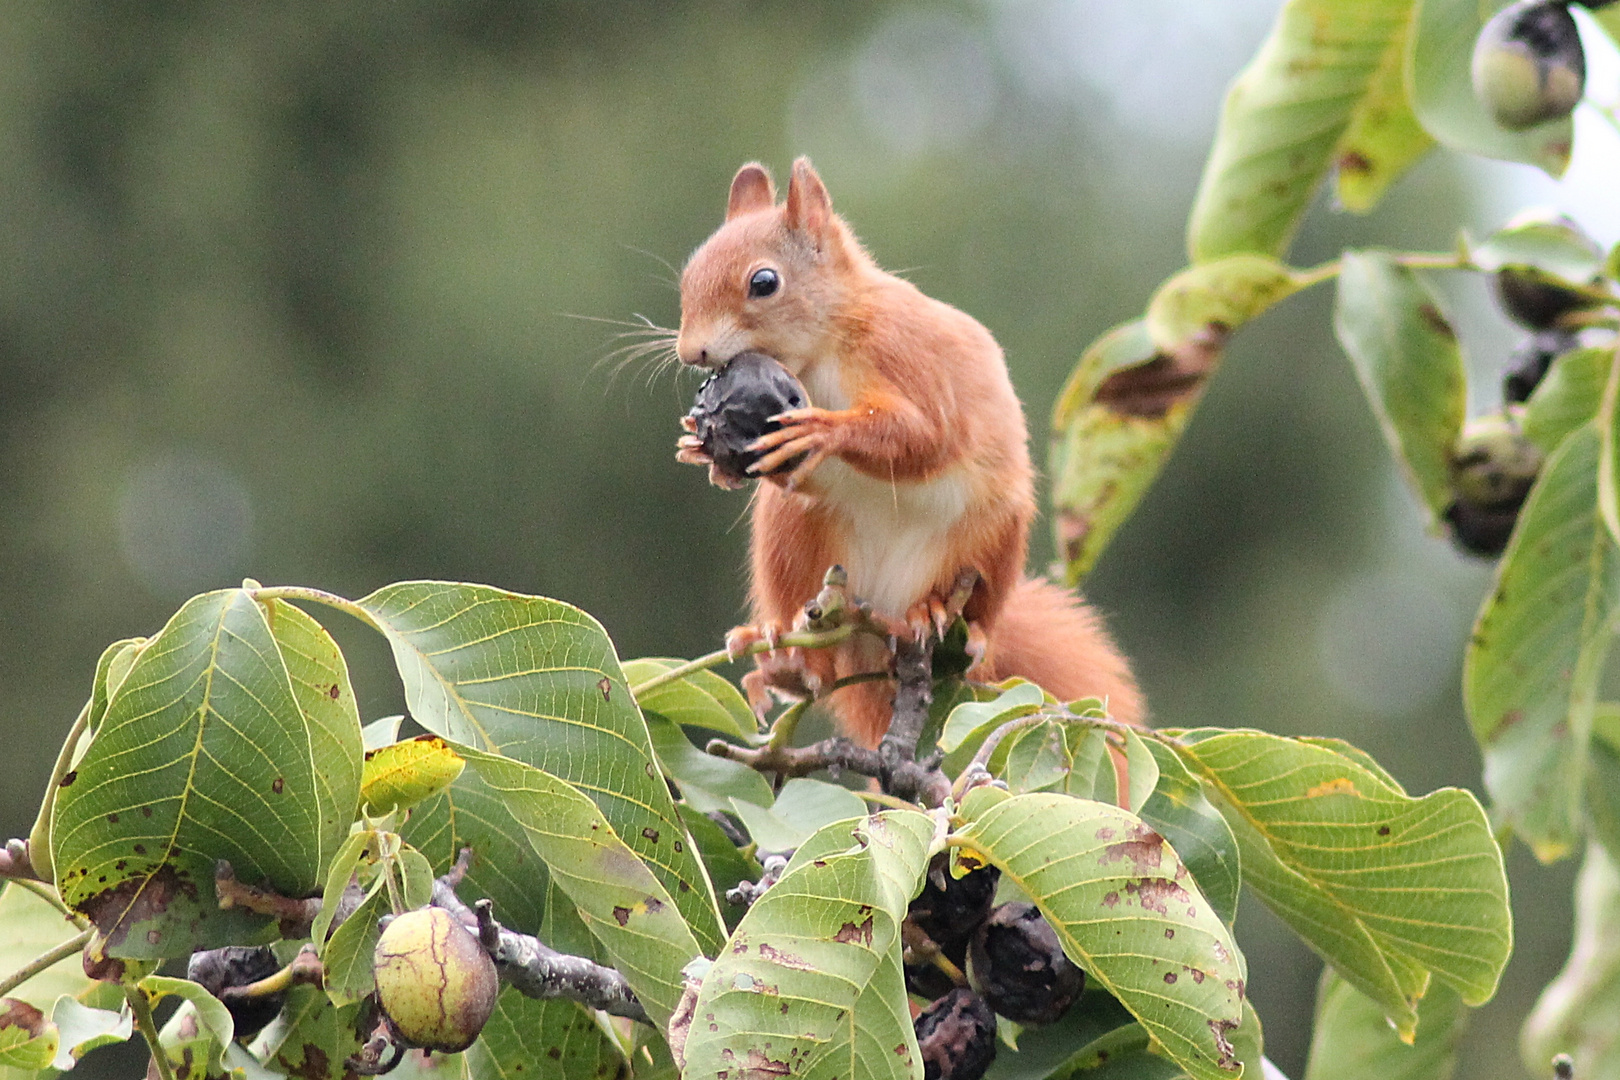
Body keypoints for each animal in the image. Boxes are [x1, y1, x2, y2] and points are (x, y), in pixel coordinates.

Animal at [670, 160, 1140, 748]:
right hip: (796, 543)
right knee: (815, 643)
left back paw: (943, 615)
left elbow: (925, 437)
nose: (691, 351)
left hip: (990, 540)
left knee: (976, 618)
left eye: (764, 282)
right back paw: (787, 657)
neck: (822, 348)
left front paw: (823, 430)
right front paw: (701, 446)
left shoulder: (905, 354)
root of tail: (877, 620)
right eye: (688, 277)